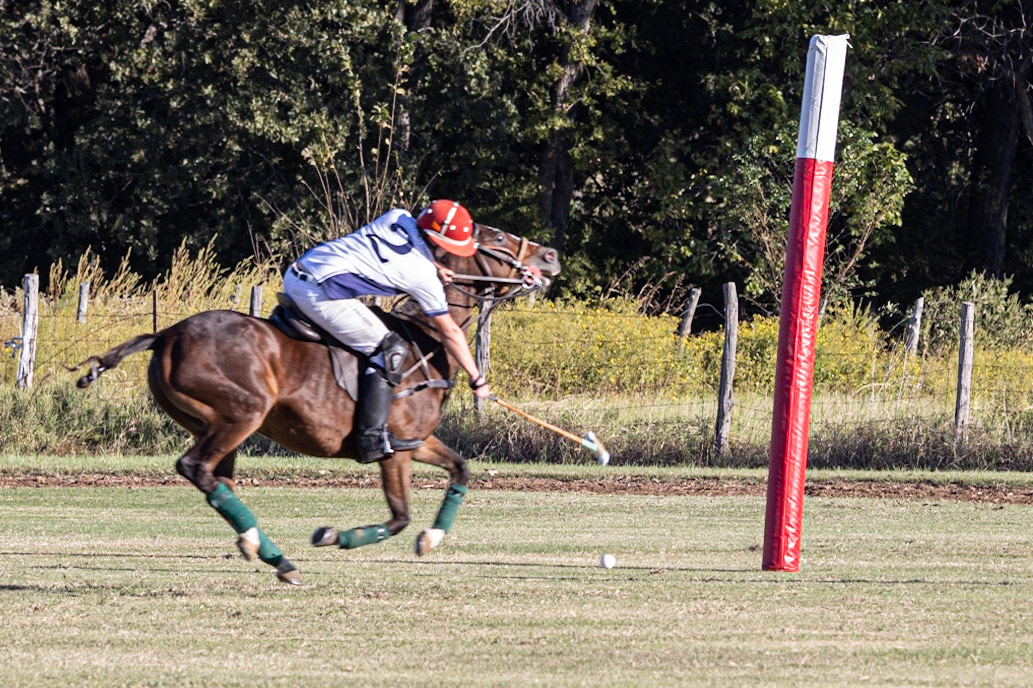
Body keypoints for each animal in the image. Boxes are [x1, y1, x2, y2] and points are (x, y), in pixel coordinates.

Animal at [73, 224, 560, 585]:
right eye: (496, 239)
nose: (551, 255)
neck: (426, 339)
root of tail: (166, 335)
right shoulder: (392, 448)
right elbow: (399, 517)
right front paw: (334, 536)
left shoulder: (413, 441)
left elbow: (460, 468)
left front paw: (431, 538)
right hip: (243, 412)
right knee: (196, 468)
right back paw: (278, 559)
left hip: (212, 422)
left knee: (216, 478)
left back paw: (256, 546)